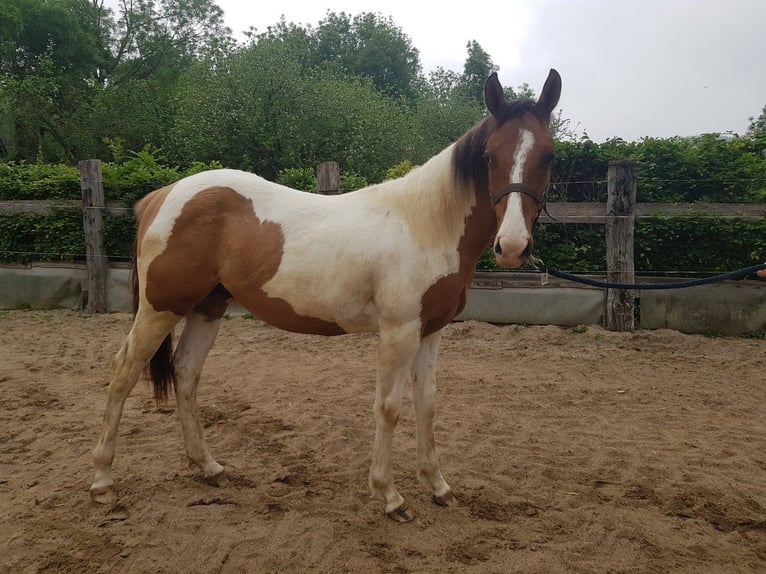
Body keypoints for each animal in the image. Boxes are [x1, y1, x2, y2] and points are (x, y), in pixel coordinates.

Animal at [90, 69, 561, 522]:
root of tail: (161, 196)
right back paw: (102, 480)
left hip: (207, 308)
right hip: (160, 309)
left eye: (549, 156)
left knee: (186, 374)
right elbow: (389, 407)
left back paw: (208, 467)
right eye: (489, 156)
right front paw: (390, 497)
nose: (513, 247)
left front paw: (439, 487)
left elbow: (427, 404)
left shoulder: (430, 331)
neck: (424, 224)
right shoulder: (399, 333)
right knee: (123, 373)